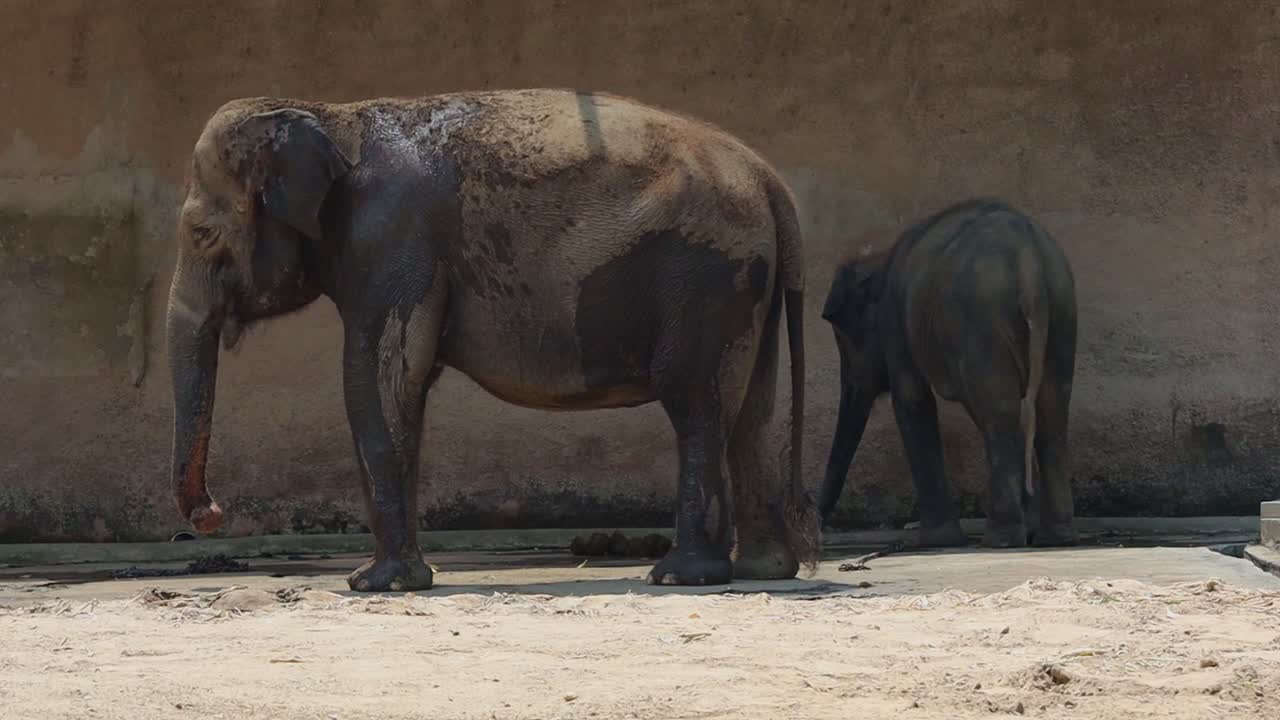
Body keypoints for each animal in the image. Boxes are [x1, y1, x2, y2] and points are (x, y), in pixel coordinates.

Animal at [165, 88, 820, 592]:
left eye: (202, 234)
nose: (211, 512)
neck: (329, 114)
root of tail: (771, 181)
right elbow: (401, 381)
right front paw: (388, 582)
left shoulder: (392, 241)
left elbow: (379, 380)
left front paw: (375, 586)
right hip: (745, 286)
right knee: (751, 412)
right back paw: (763, 570)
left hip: (706, 276)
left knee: (695, 404)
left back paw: (681, 576)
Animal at [818, 198, 1078, 548]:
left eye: (845, 340)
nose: (819, 526)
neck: (880, 259)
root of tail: (1031, 264)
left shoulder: (895, 320)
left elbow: (912, 399)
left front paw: (932, 540)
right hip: (1062, 314)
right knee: (1051, 414)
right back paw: (1054, 537)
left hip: (981, 324)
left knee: (999, 415)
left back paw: (1000, 539)